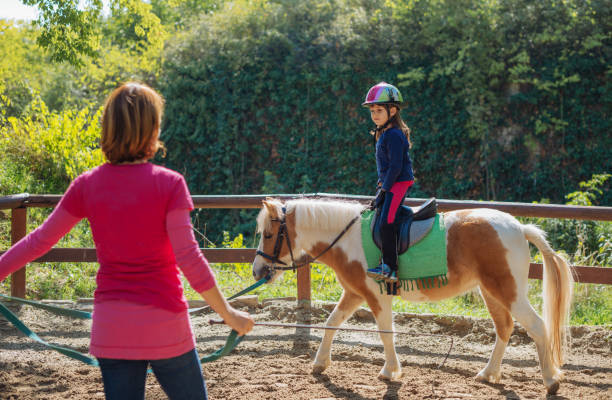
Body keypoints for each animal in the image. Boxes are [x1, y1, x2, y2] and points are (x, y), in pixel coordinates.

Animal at [252, 198, 572, 394]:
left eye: (268, 234)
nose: (257, 271)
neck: (346, 238)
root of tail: (519, 227)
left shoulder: (376, 295)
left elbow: (386, 332)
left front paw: (390, 371)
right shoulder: (355, 293)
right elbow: (332, 323)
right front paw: (320, 364)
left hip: (508, 291)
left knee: (537, 327)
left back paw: (550, 380)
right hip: (491, 292)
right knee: (504, 328)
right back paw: (487, 374)